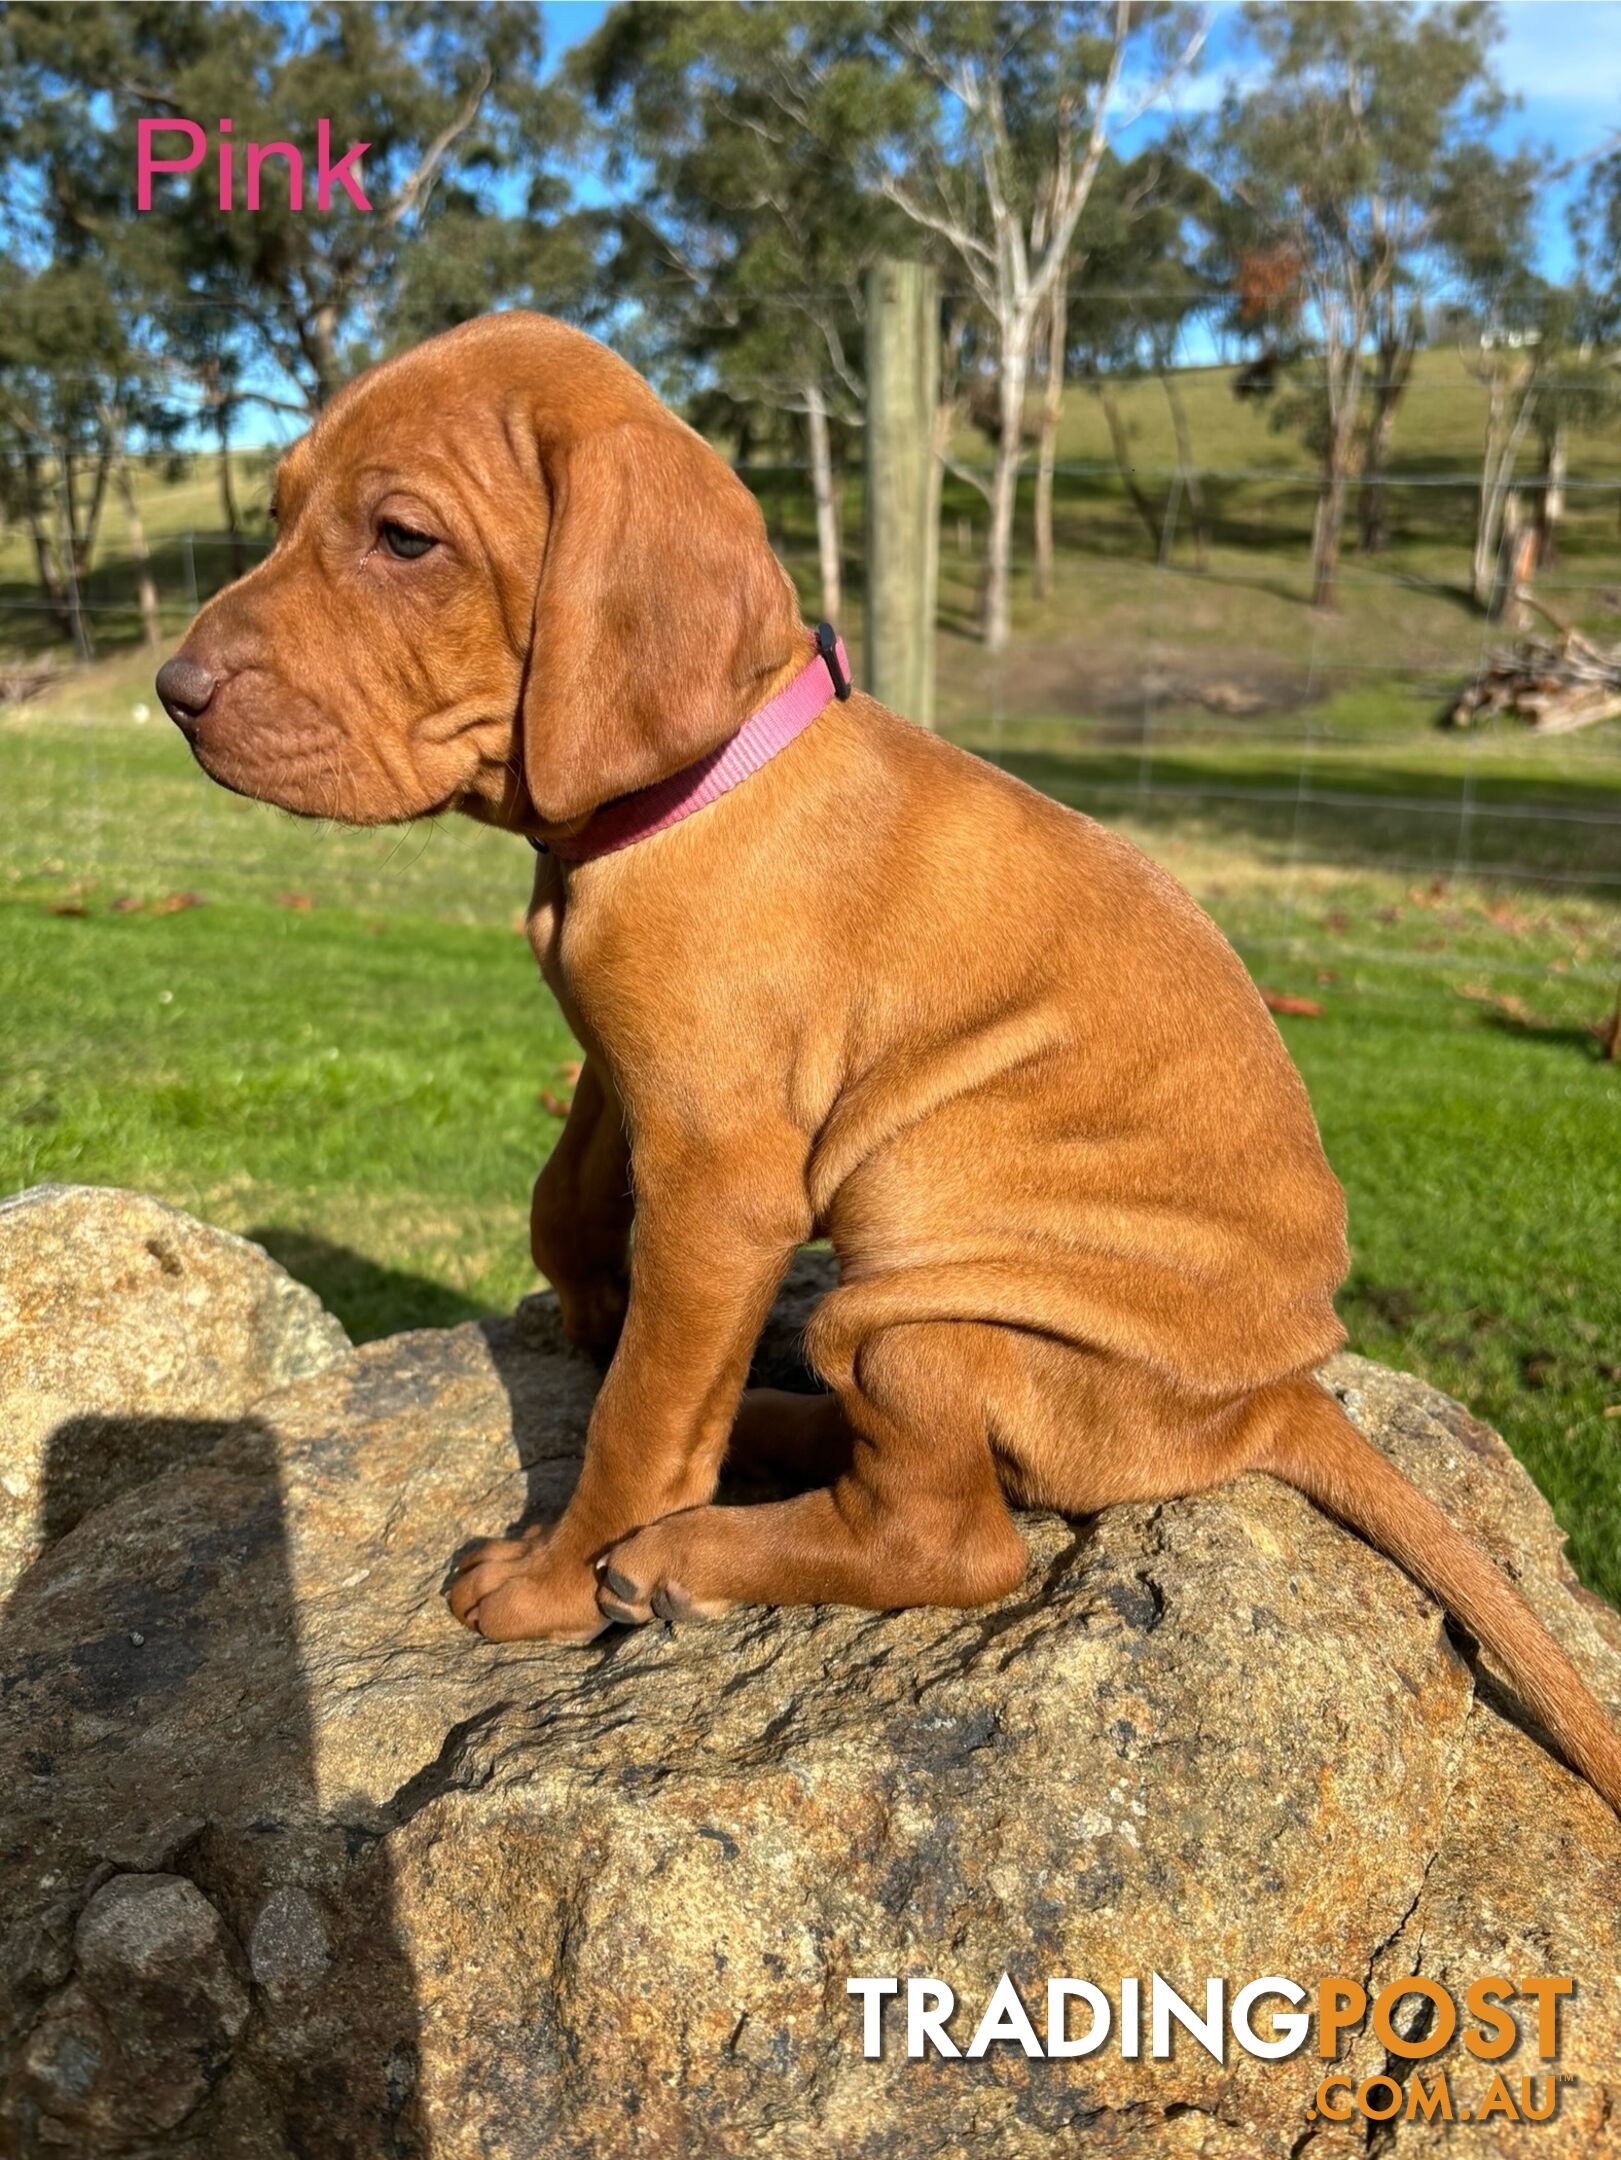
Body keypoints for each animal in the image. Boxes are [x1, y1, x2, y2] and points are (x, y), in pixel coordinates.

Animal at [155, 313, 1621, 1814]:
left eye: (404, 539)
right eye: (275, 516)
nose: (172, 694)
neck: (681, 794)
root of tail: (1271, 1399)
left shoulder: (720, 1179)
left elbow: (639, 1415)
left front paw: (554, 1577)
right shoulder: (635, 1077)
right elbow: (566, 1202)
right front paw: (587, 1308)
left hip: (913, 1298)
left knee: (952, 1542)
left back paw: (685, 1549)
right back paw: (759, 1428)